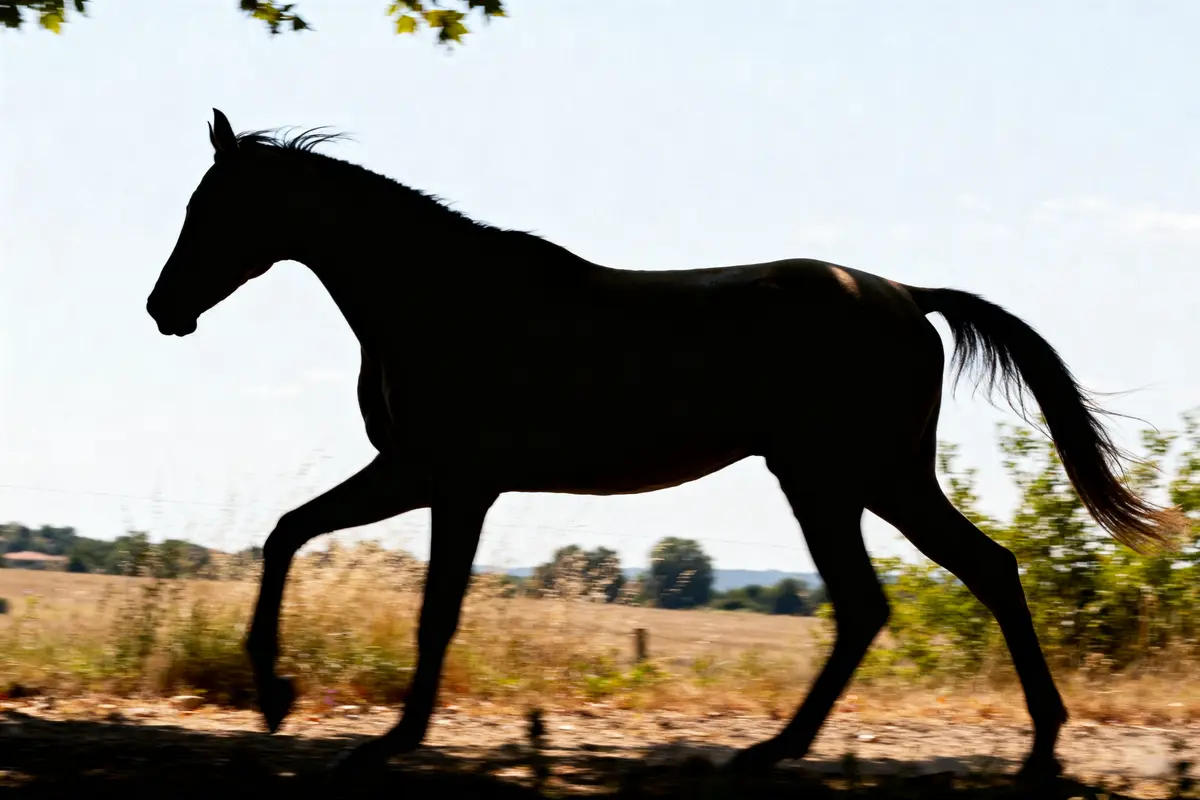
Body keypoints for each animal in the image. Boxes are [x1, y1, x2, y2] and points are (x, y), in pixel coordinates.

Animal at [145, 108, 1186, 780]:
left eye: (213, 210)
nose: (163, 309)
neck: (440, 300)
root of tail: (905, 296)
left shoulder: (448, 480)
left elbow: (428, 608)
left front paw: (378, 731)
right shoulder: (423, 476)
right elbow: (290, 534)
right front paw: (281, 694)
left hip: (863, 476)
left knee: (968, 575)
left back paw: (1031, 743)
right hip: (831, 482)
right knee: (883, 600)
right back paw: (792, 747)